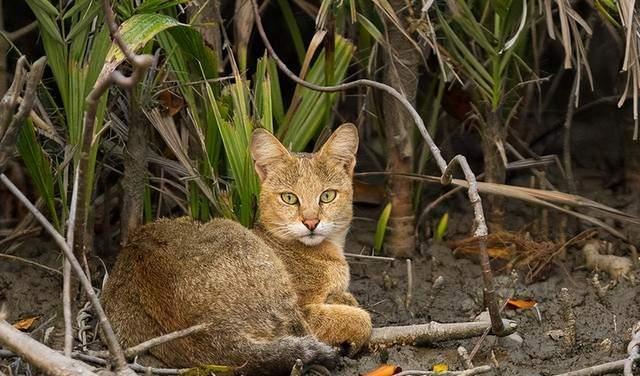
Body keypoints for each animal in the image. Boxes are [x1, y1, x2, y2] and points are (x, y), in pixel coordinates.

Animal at [102, 123, 372, 374]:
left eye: (327, 196)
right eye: (289, 198)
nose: (311, 222)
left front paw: (342, 297)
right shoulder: (304, 310)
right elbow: (358, 318)